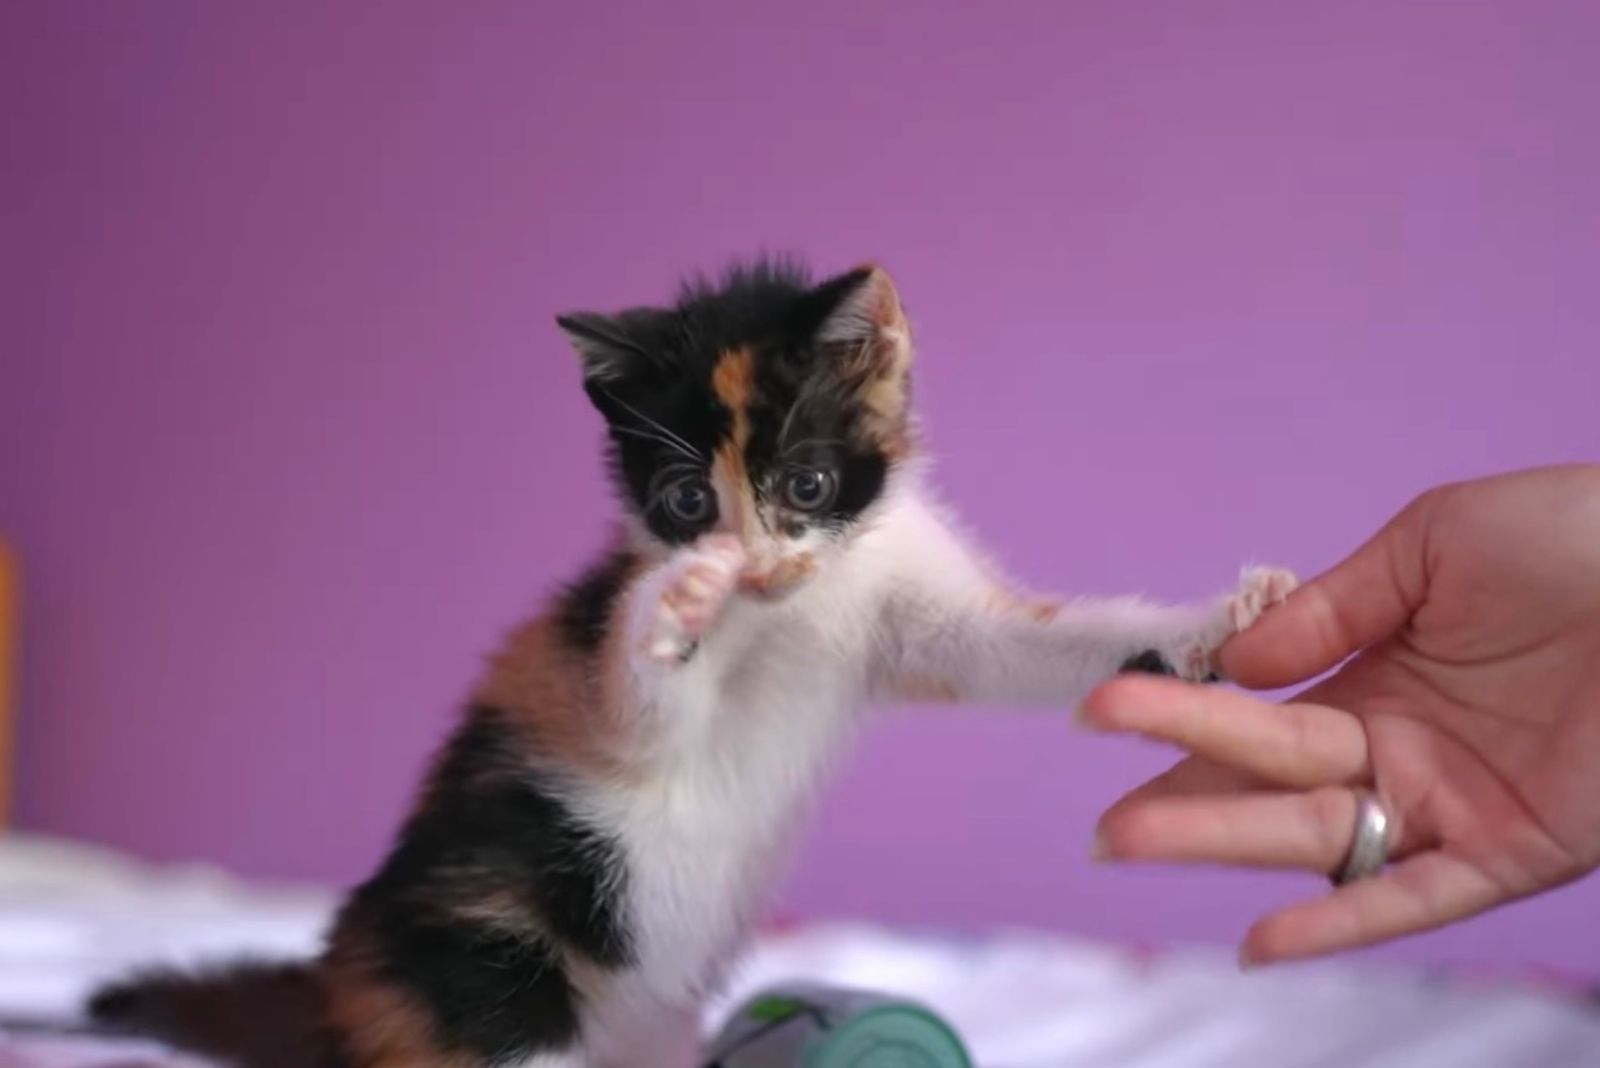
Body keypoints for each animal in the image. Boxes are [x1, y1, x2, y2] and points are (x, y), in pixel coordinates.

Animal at [87, 260, 1292, 1068]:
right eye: (682, 502)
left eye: (805, 485)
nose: (748, 563)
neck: (801, 609)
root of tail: (335, 991)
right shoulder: (596, 673)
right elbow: (641, 706)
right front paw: (679, 605)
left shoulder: (915, 613)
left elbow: (1028, 646)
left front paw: (1222, 620)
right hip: (484, 951)